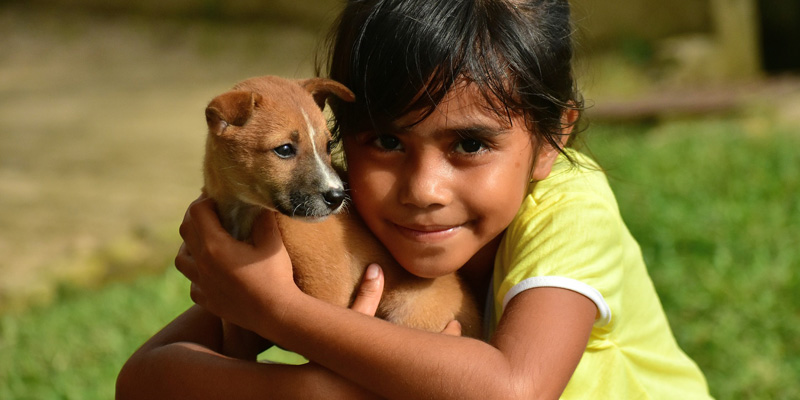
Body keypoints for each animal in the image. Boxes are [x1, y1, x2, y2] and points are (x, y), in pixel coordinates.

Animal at [203, 76, 484, 350]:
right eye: (284, 149)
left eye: (328, 145)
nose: (338, 197)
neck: (245, 212)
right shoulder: (236, 325)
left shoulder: (327, 293)